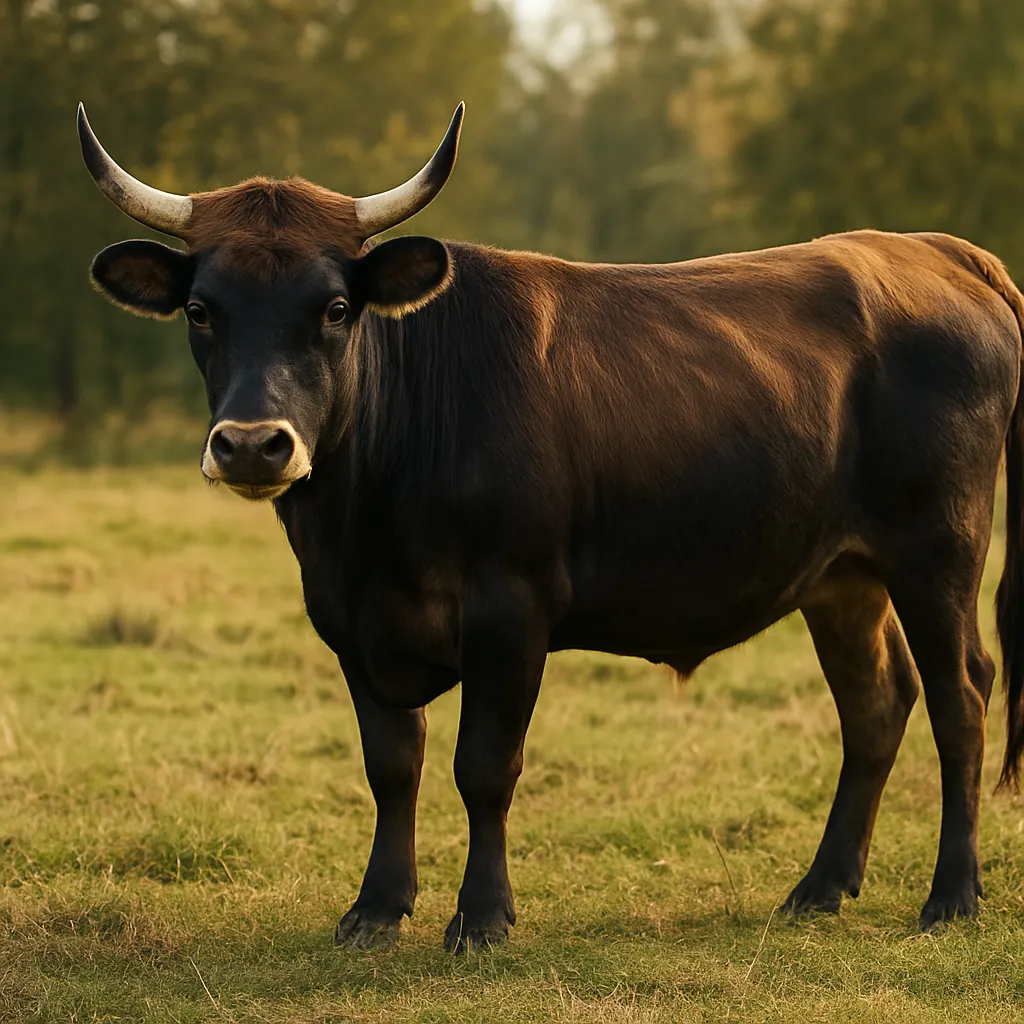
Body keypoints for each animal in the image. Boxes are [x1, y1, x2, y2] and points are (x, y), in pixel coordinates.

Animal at [77, 101, 1024, 952]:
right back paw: (821, 887)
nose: (251, 444)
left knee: (962, 696)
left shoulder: (511, 607)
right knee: (876, 702)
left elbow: (485, 767)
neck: (364, 525)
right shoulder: (350, 621)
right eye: (201, 309)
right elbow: (392, 765)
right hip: (841, 576)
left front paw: (482, 918)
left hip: (939, 549)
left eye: (337, 308)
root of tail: (934, 251)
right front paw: (376, 909)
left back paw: (951, 897)